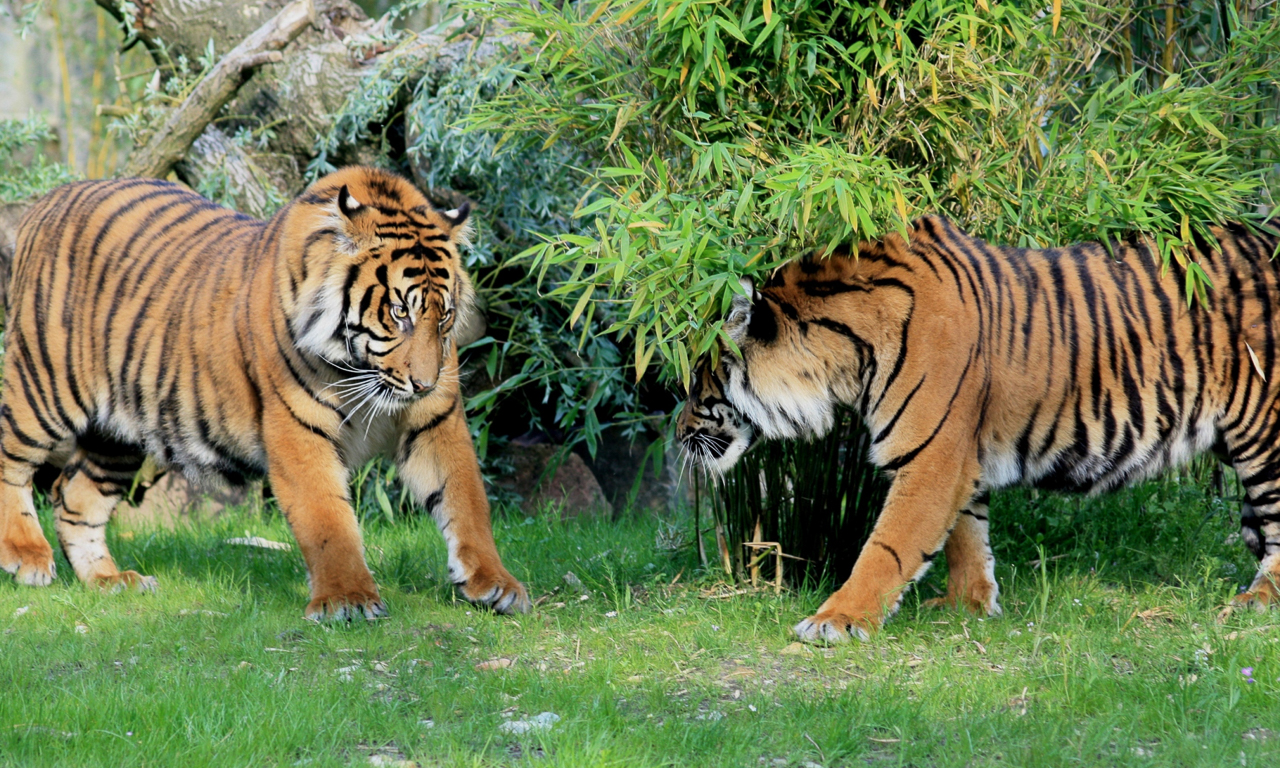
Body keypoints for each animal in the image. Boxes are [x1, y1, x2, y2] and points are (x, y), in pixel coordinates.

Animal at [0, 167, 530, 620]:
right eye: (400, 312)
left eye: (444, 315)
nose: (423, 383)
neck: (362, 367)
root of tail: (51, 197)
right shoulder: (298, 427)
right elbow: (327, 518)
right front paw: (348, 599)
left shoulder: (436, 421)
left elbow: (466, 500)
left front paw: (496, 585)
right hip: (45, 384)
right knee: (12, 456)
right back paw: (26, 555)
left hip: (119, 431)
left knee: (75, 497)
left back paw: (111, 580)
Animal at [678, 215, 1280, 642]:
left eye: (697, 382)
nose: (678, 434)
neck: (846, 357)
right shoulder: (957, 453)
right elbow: (966, 536)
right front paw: (968, 606)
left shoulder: (931, 458)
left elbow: (888, 545)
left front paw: (836, 620)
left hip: (1262, 434)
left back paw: (1256, 601)